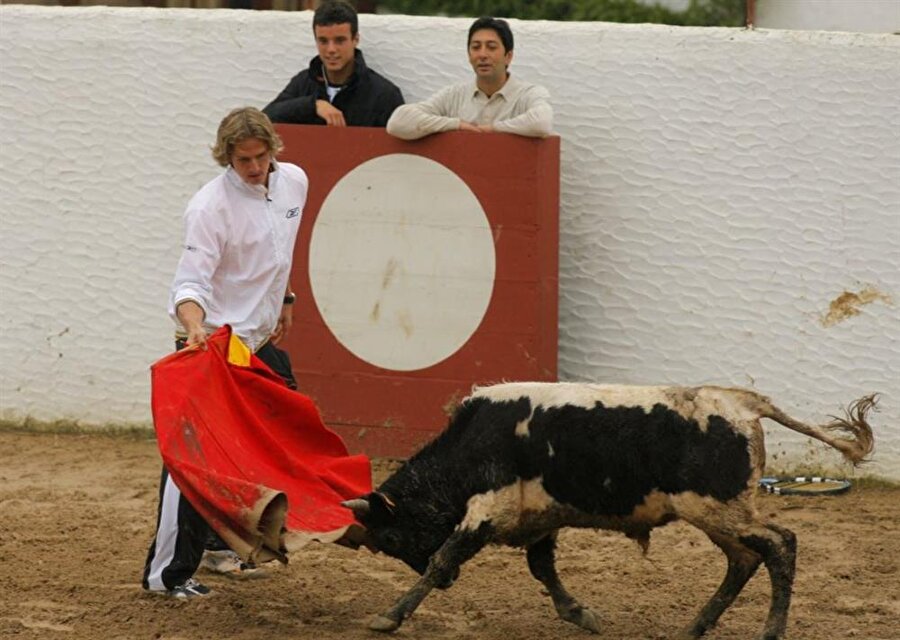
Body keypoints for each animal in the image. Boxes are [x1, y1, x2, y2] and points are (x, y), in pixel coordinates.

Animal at [342, 382, 872, 636]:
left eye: (391, 538)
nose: (453, 587)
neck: (474, 441)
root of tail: (741, 402)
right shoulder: (540, 517)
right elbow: (542, 569)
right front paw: (579, 613)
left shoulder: (488, 510)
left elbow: (442, 556)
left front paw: (390, 616)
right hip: (720, 516)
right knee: (744, 560)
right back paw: (694, 628)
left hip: (719, 510)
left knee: (780, 545)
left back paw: (770, 631)